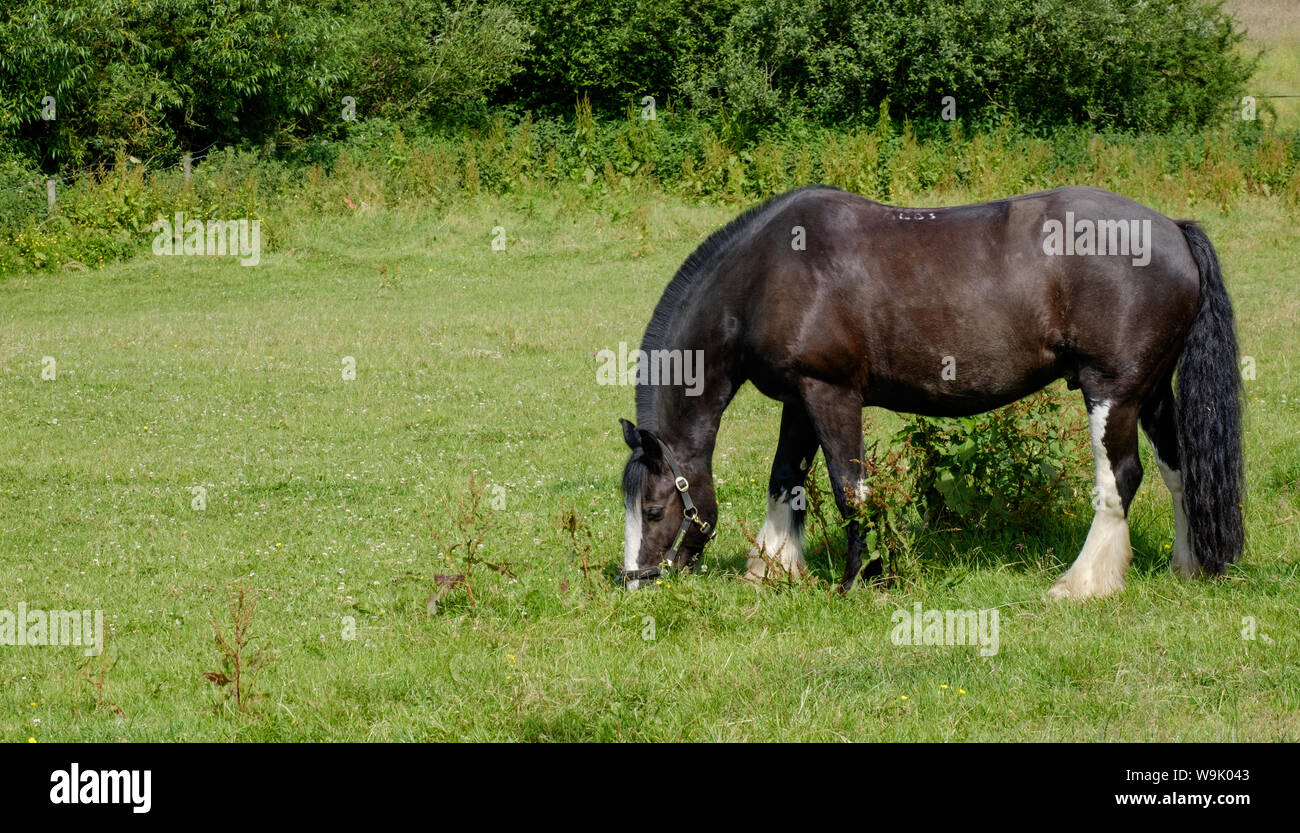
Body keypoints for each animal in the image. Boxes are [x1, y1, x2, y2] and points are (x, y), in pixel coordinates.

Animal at [618, 184, 1248, 597]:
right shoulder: (800, 399)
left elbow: (850, 488)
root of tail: (1173, 229)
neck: (767, 274)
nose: (636, 581)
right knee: (1179, 469)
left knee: (1120, 478)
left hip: (1112, 390)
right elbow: (785, 479)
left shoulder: (831, 394)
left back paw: (1082, 583)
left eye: (653, 510)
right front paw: (772, 566)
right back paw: (1188, 566)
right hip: (1152, 390)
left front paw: (860, 577)